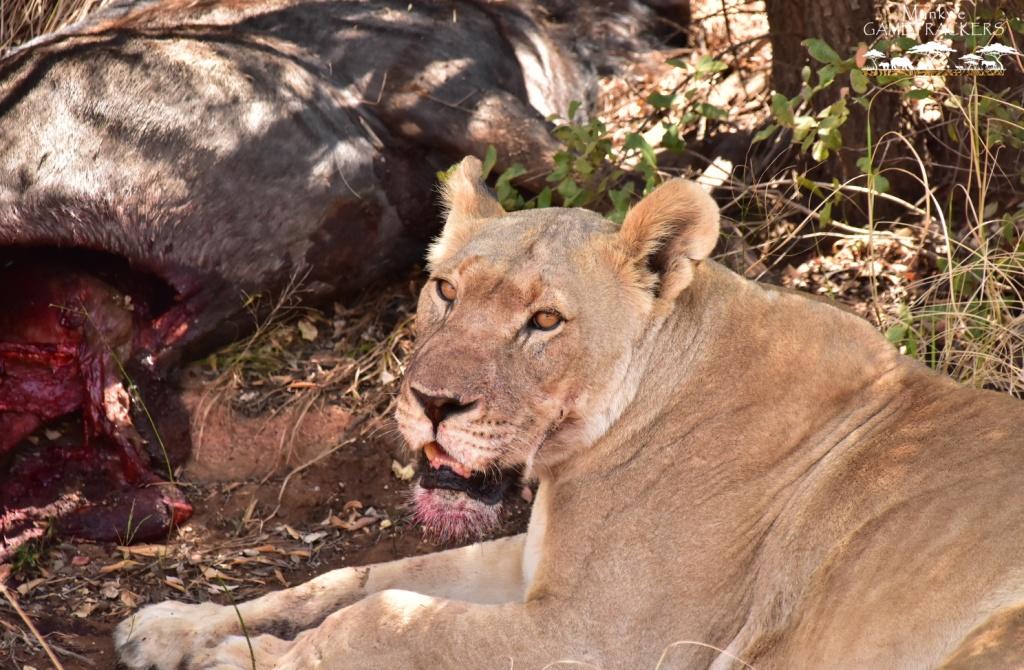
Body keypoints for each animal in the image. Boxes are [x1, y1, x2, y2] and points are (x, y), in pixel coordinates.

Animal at [116, 156, 1024, 669]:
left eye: (545, 322)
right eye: (445, 290)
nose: (431, 403)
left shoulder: (600, 638)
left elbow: (384, 621)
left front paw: (240, 660)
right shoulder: (533, 570)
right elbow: (353, 579)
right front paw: (176, 628)